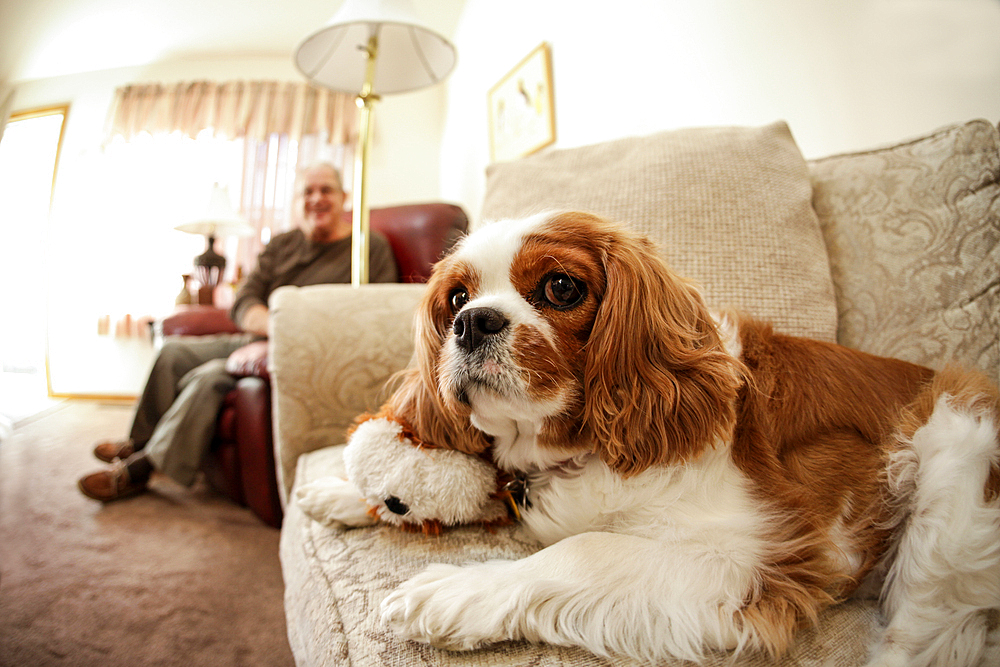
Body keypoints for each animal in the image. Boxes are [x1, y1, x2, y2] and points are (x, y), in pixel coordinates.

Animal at [304, 213, 1000, 667]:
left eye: (561, 287)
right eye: (456, 298)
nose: (473, 322)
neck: (581, 449)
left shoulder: (755, 561)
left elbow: (583, 550)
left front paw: (452, 590)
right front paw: (349, 493)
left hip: (955, 449)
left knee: (920, 635)